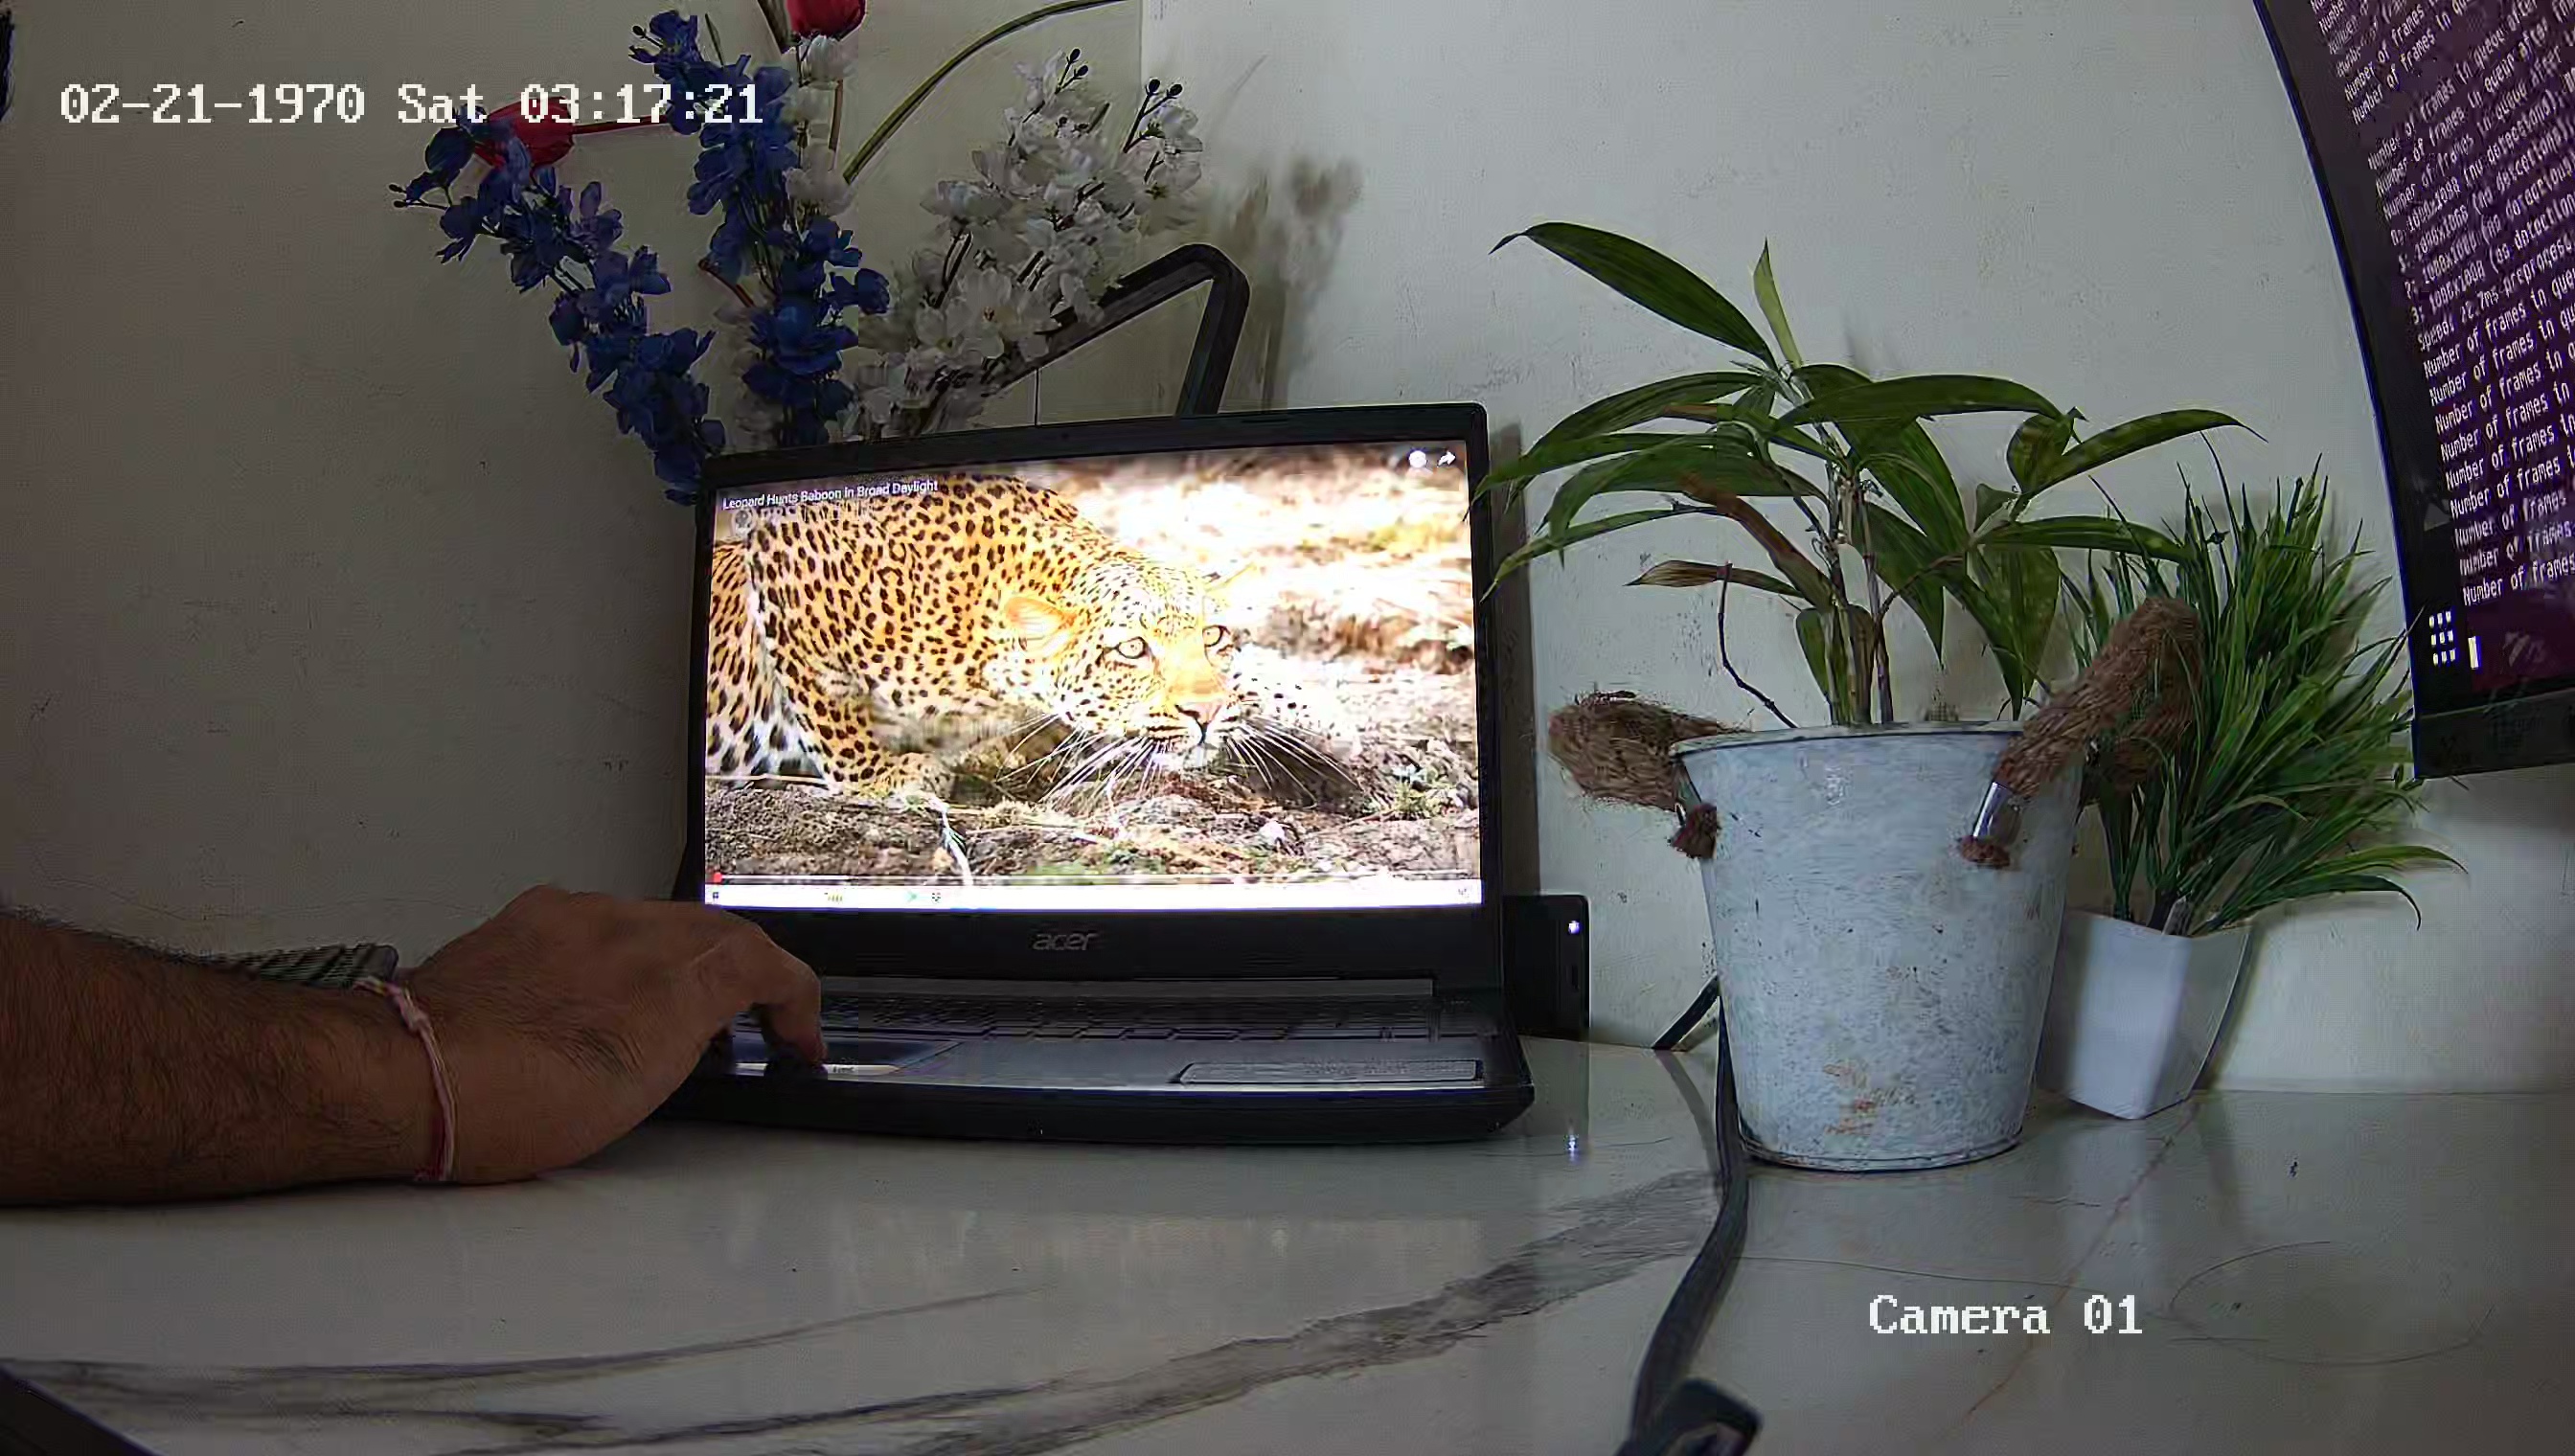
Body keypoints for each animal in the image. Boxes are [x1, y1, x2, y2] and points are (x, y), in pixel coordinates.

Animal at [705, 474, 1325, 802]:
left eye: (1214, 636)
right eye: (1132, 649)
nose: (1206, 712)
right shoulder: (785, 554)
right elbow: (830, 716)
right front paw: (884, 778)